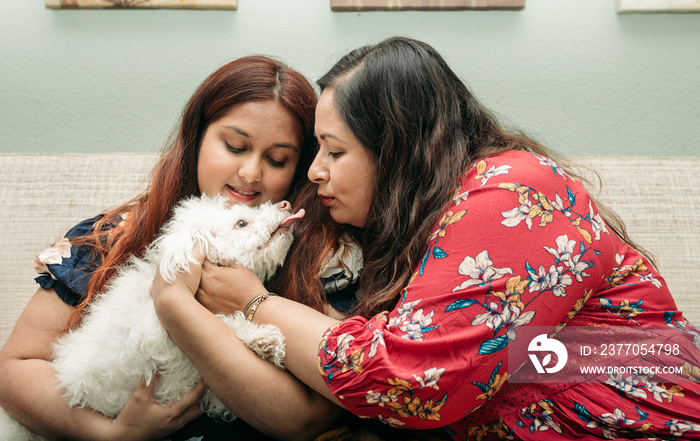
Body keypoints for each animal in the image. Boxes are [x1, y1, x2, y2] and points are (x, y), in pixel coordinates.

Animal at [0, 195, 306, 440]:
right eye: (241, 223)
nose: (286, 203)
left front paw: (262, 342)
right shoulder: (164, 347)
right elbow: (222, 322)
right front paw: (262, 337)